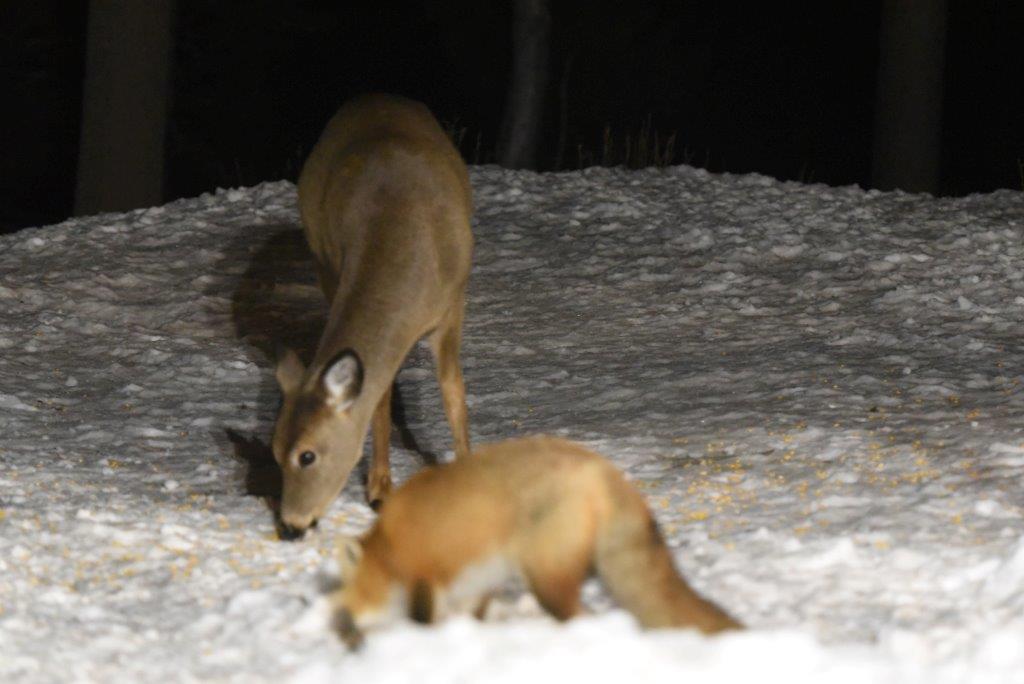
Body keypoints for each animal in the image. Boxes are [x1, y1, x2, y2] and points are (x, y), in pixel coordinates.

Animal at [273, 94, 474, 539]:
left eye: (307, 456)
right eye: (274, 451)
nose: (291, 526)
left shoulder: (453, 305)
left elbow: (453, 390)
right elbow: (380, 399)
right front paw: (380, 488)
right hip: (322, 263)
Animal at [330, 436, 742, 647]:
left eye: (351, 600)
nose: (348, 636)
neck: (390, 545)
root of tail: (601, 468)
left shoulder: (425, 578)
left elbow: (423, 622)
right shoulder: (476, 584)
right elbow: (469, 619)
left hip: (546, 578)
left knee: (581, 618)